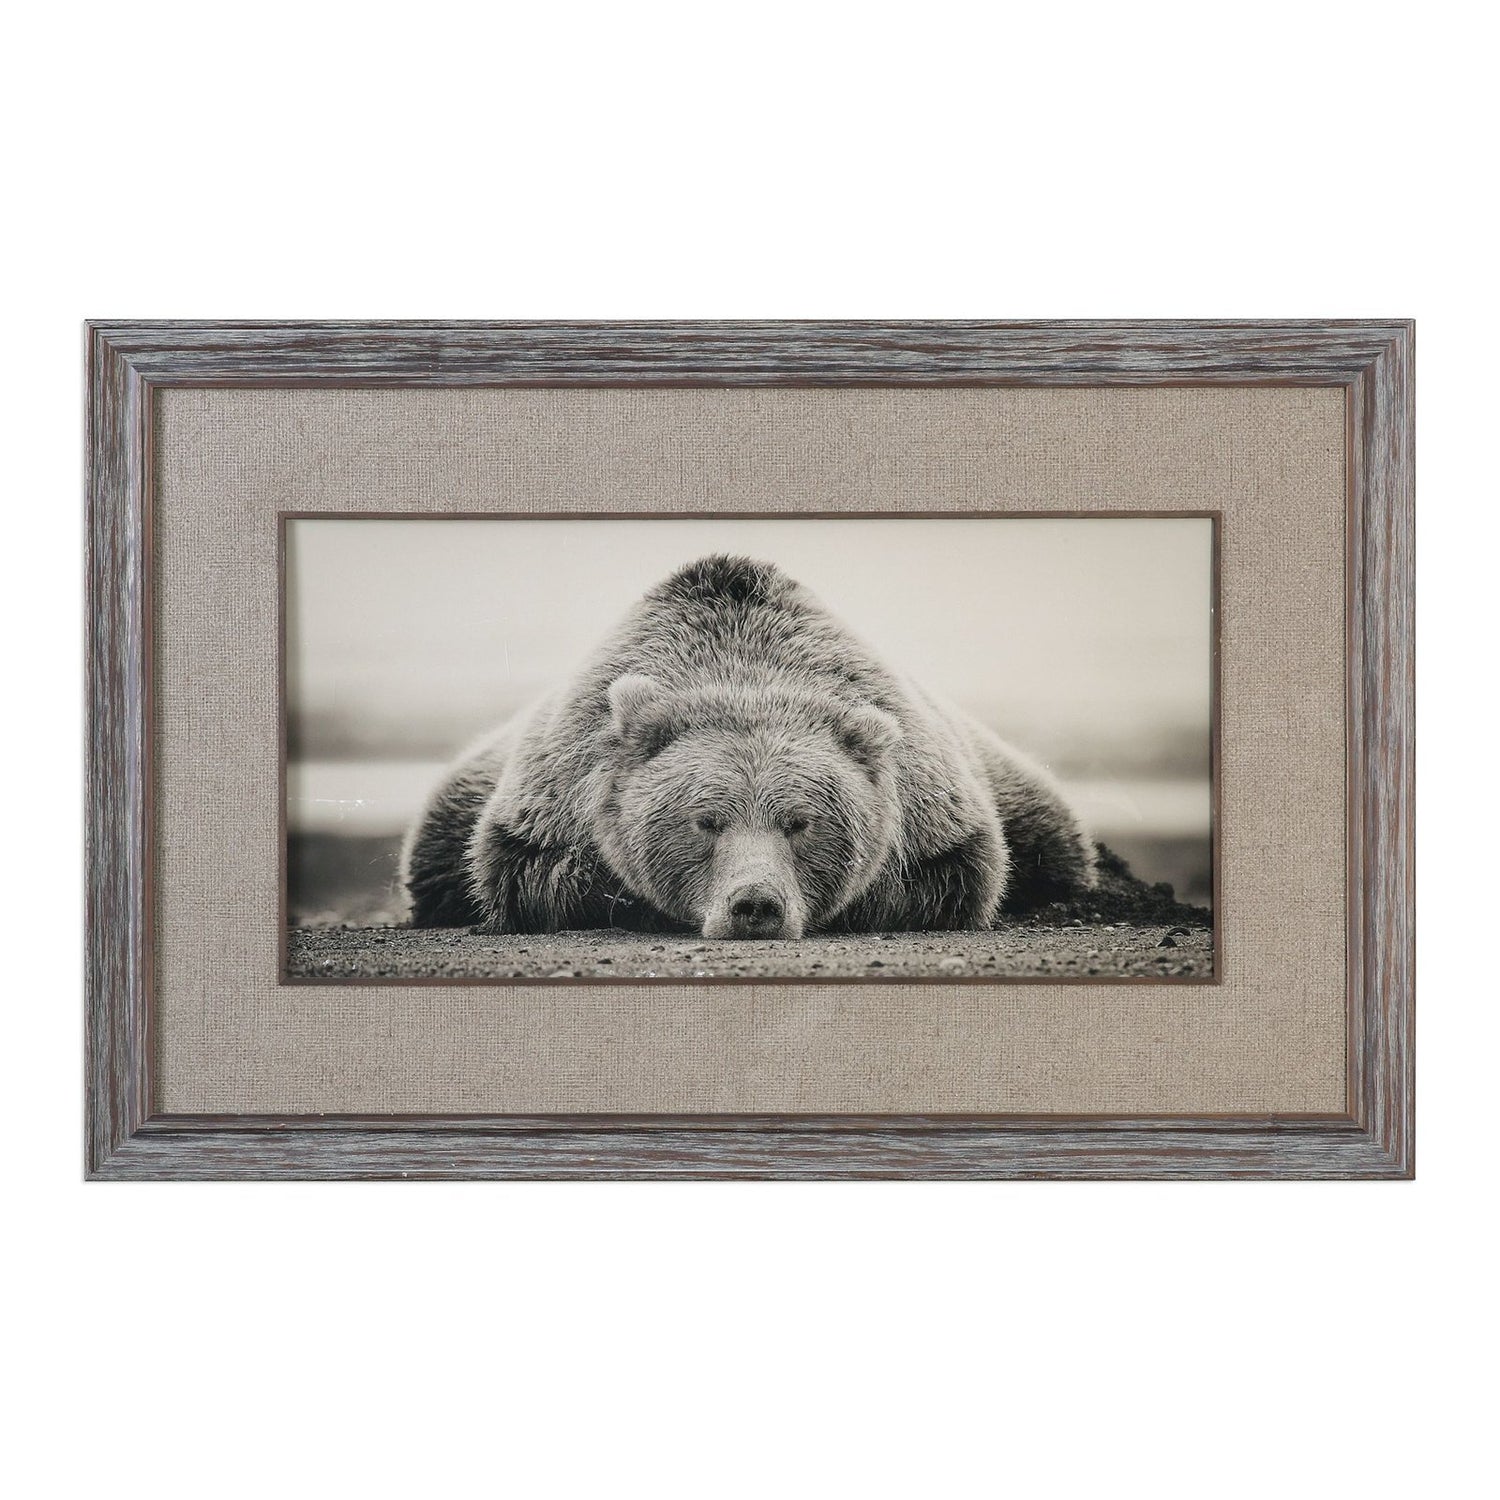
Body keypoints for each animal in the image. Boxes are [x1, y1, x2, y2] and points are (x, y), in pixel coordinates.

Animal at [400, 554, 1095, 939]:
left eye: (800, 823)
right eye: (706, 821)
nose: (755, 905)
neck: (744, 667)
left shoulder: (936, 811)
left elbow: (954, 876)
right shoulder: (551, 799)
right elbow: (532, 874)